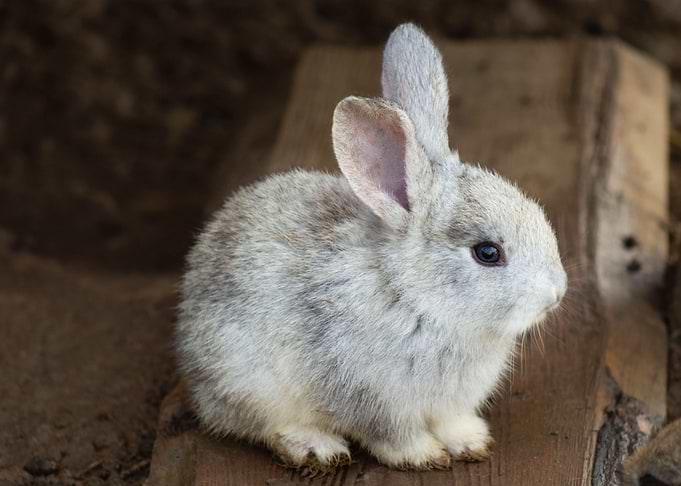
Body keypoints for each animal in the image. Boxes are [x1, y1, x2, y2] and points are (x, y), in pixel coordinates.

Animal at [176, 22, 567, 470]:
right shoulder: (371, 398)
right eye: (487, 253)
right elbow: (392, 436)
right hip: (247, 381)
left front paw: (471, 442)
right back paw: (316, 447)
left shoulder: (448, 405)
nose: (557, 293)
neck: (416, 297)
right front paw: (424, 456)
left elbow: (452, 422)